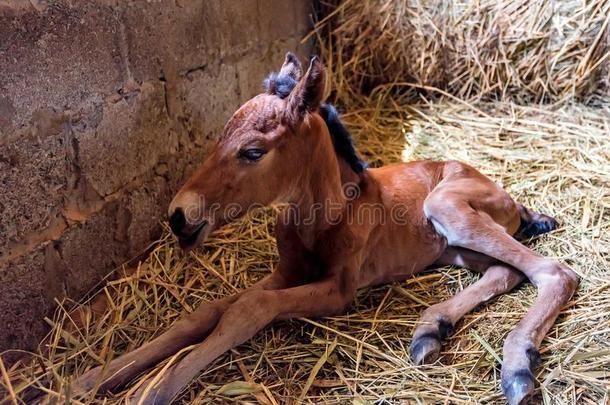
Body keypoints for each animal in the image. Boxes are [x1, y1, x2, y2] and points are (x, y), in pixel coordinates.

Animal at [73, 54, 576, 404]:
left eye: (253, 152)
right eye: (218, 139)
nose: (179, 215)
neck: (325, 217)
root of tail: (509, 196)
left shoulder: (339, 290)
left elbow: (249, 309)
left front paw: (152, 389)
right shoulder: (288, 272)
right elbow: (207, 311)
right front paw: (92, 378)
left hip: (447, 207)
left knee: (553, 272)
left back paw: (516, 368)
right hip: (450, 246)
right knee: (504, 273)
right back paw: (431, 329)